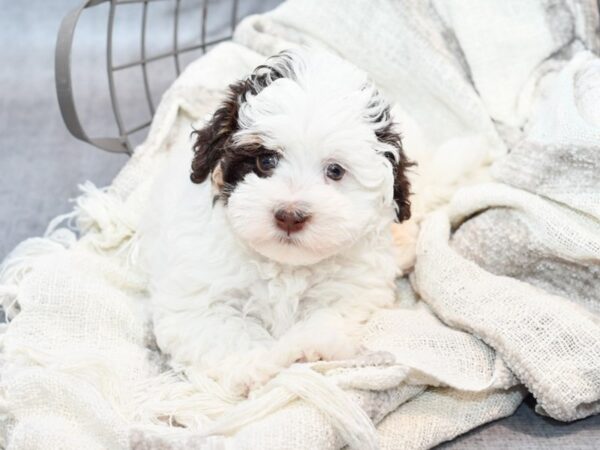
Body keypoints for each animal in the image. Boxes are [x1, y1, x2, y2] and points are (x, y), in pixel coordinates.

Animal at [141, 47, 412, 396]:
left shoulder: (353, 288)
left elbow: (328, 315)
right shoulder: (197, 299)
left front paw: (311, 347)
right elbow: (225, 329)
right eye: (265, 160)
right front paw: (253, 366)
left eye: (335, 170)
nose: (290, 215)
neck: (284, 265)